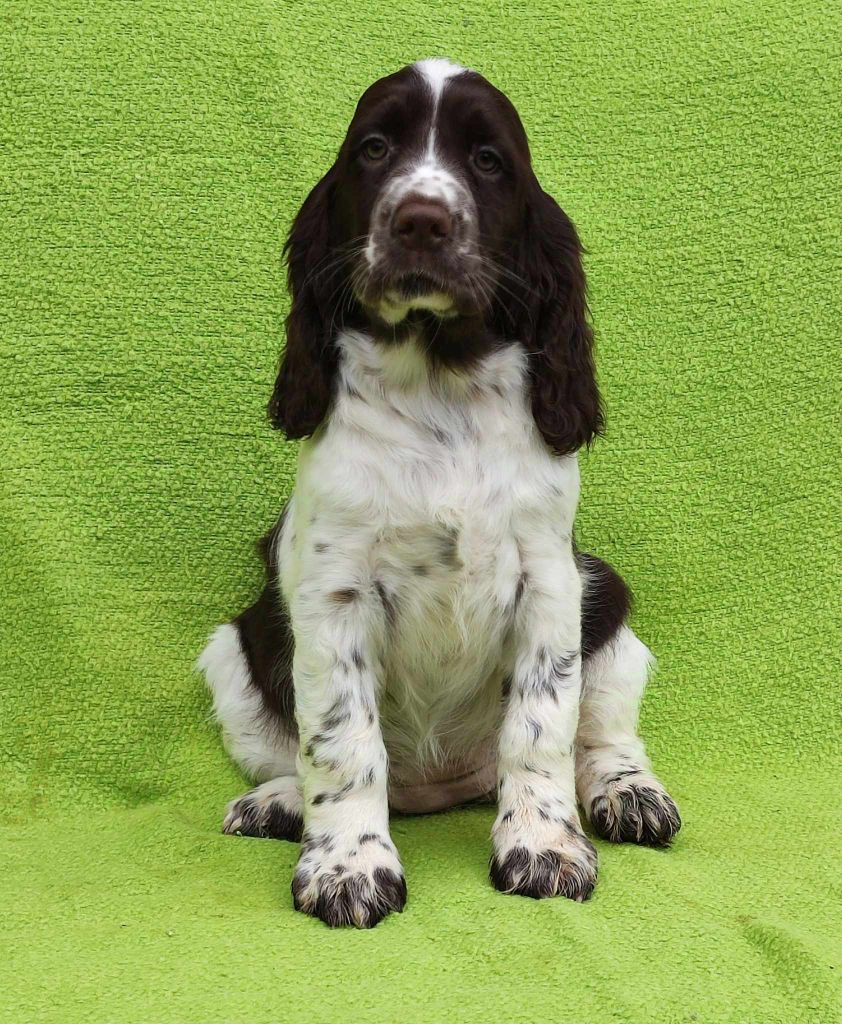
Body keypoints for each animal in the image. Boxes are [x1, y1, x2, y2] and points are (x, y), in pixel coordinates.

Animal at [200, 59, 684, 933]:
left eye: (488, 161)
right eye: (375, 149)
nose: (420, 220)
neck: (438, 384)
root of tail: (440, 789)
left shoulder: (551, 582)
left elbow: (542, 728)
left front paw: (544, 848)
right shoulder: (333, 593)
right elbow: (341, 739)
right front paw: (349, 867)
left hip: (611, 614)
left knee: (603, 736)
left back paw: (628, 796)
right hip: (235, 652)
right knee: (298, 752)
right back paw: (279, 803)